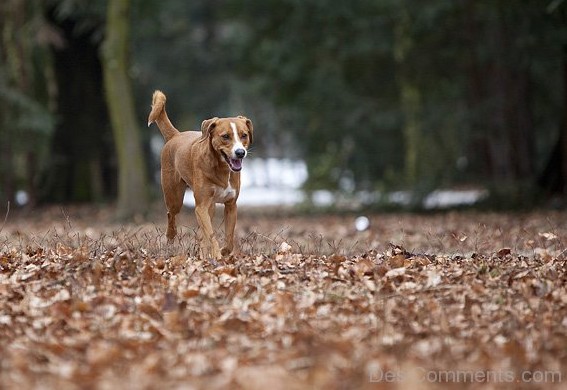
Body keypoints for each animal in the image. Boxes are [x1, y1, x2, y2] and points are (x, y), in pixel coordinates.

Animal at [148, 91, 254, 258]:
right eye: (225, 136)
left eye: (244, 135)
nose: (240, 152)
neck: (221, 169)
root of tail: (175, 135)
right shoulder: (201, 207)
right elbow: (211, 235)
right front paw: (216, 255)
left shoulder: (231, 205)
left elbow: (229, 239)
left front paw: (223, 252)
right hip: (174, 196)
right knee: (171, 214)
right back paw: (171, 236)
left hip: (211, 206)